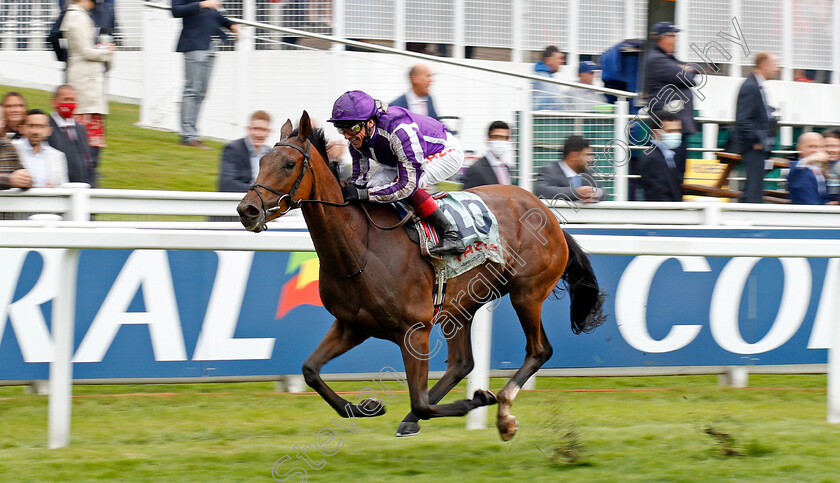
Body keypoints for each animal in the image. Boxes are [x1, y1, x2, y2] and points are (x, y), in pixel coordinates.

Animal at [236, 110, 604, 442]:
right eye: (262, 160)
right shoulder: (352, 326)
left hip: (526, 293)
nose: (247, 210)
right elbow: (310, 371)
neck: (361, 248)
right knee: (462, 363)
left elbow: (422, 401)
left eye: (288, 164)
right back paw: (419, 418)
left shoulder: (414, 331)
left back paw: (503, 411)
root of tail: (547, 214)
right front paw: (364, 407)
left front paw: (478, 399)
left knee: (539, 350)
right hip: (461, 305)